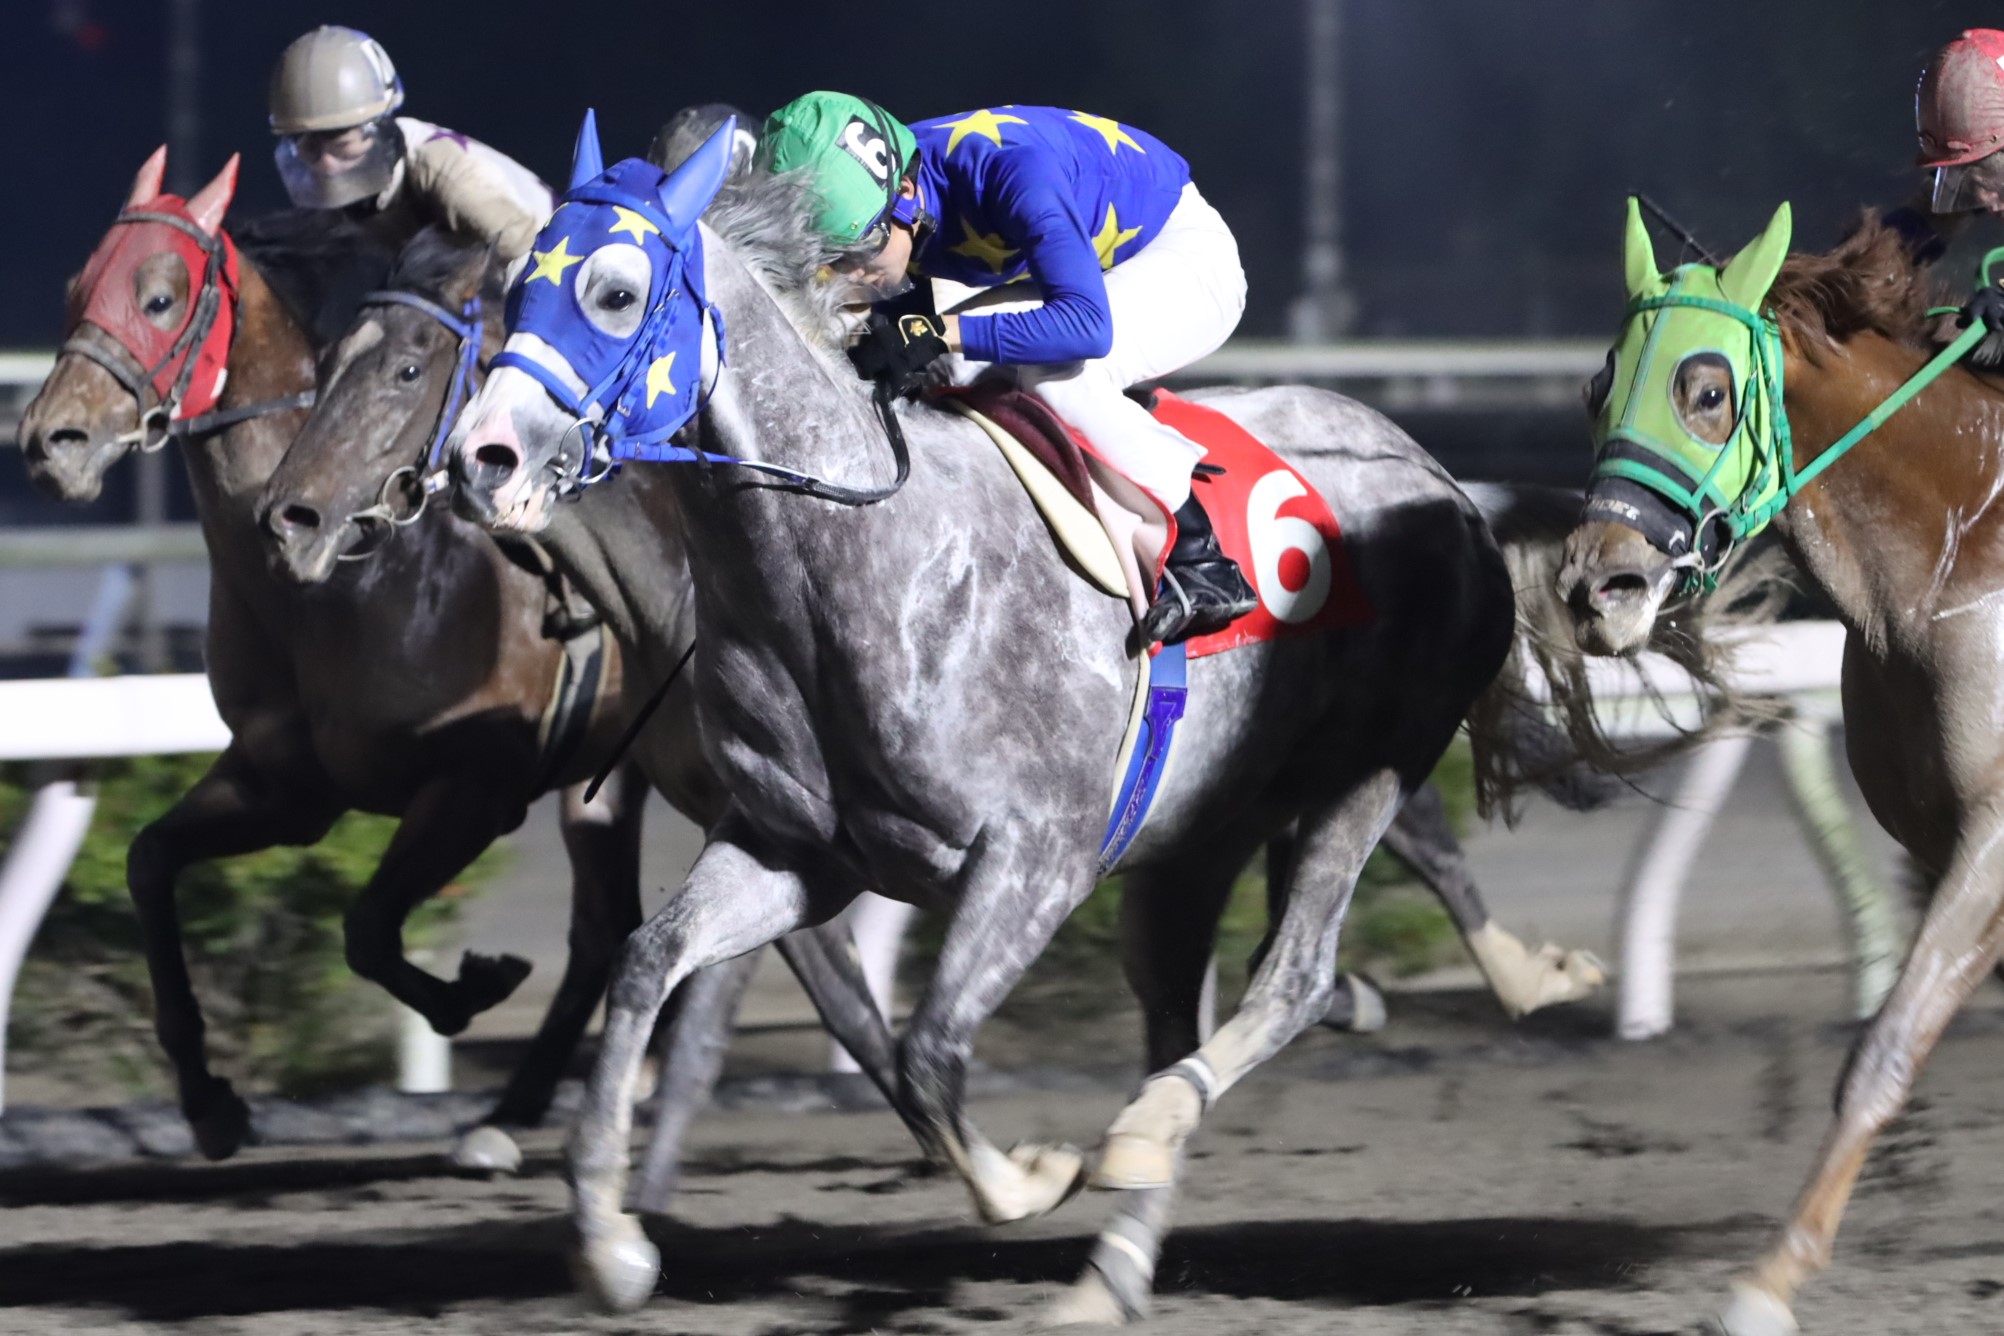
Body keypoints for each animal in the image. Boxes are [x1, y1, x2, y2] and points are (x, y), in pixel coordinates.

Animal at [14, 147, 657, 1173]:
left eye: (160, 296)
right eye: (79, 287)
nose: (49, 442)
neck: (337, 586)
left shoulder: (475, 784)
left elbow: (367, 931)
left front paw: (473, 987)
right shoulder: (287, 786)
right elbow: (151, 862)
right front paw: (208, 1102)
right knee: (604, 927)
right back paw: (513, 1113)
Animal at [440, 119, 1586, 1323]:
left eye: (615, 292)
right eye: (513, 289)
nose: (482, 458)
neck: (855, 563)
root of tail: (1439, 476)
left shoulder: (1036, 858)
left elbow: (931, 1046)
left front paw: (1033, 1178)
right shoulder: (796, 852)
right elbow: (649, 962)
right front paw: (609, 1240)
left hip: (1367, 771)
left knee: (1296, 978)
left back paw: (1159, 1126)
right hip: (1195, 842)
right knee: (1185, 1012)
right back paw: (1109, 1274)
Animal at [1558, 200, 2004, 1334]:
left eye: (1706, 391)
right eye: (1597, 386)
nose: (1597, 587)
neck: (1962, 551)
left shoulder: (1995, 839)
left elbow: (1886, 1045)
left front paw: (1766, 1281)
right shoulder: (1942, 841)